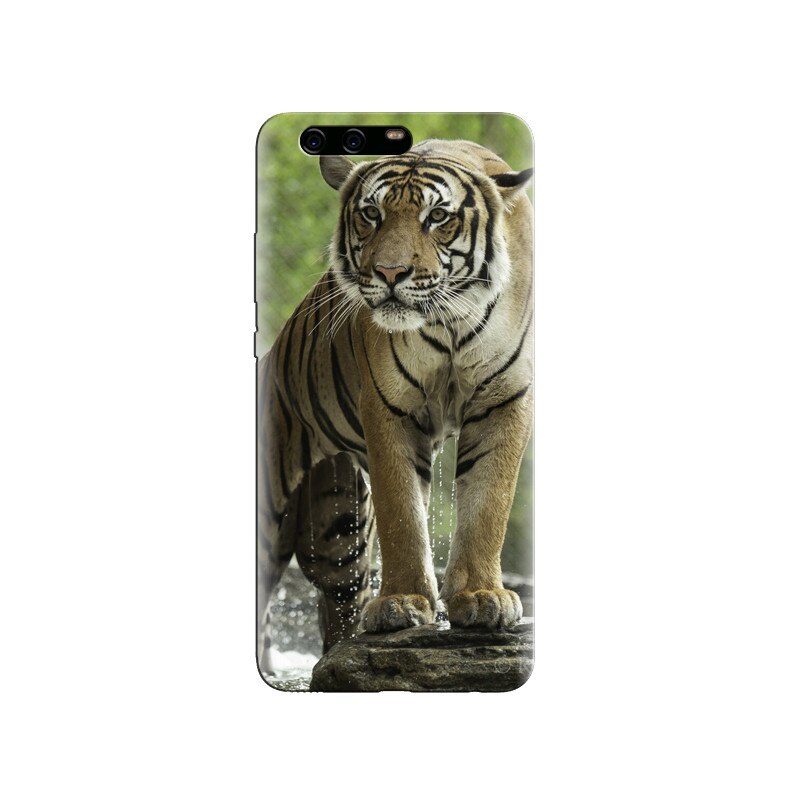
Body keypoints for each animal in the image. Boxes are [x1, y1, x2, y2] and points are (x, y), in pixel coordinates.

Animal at [257, 138, 533, 678]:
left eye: (438, 216)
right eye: (371, 213)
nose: (389, 273)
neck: (450, 321)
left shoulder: (503, 398)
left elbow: (488, 502)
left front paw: (480, 597)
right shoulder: (389, 408)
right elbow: (403, 512)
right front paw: (403, 604)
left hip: (338, 532)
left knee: (338, 603)